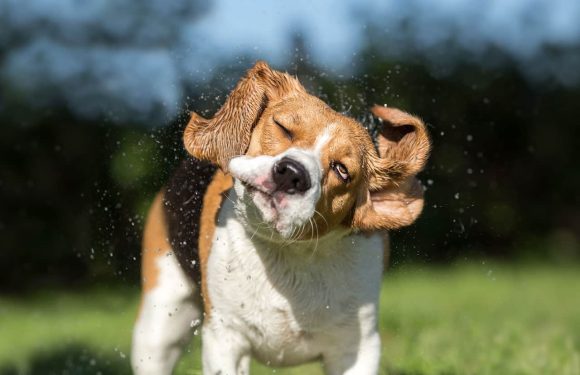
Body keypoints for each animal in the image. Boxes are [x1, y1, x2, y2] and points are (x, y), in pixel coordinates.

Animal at [133, 62, 430, 375]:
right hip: (158, 328)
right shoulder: (225, 337)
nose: (292, 173)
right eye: (283, 128)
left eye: (342, 170)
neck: (288, 252)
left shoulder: (357, 348)